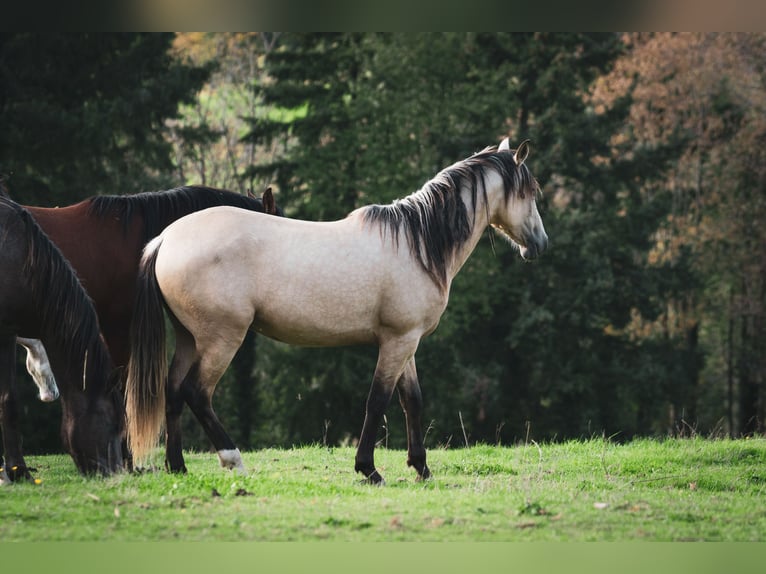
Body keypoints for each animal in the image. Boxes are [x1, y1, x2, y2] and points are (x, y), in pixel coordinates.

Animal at [125, 138, 548, 483]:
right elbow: (378, 401)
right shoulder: (397, 341)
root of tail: (166, 239)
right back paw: (233, 460)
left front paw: (421, 467)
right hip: (222, 339)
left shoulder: (406, 341)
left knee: (173, 392)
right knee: (197, 393)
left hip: (188, 338)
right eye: (530, 191)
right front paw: (369, 469)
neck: (418, 243)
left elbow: (411, 400)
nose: (540, 244)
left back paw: (177, 467)